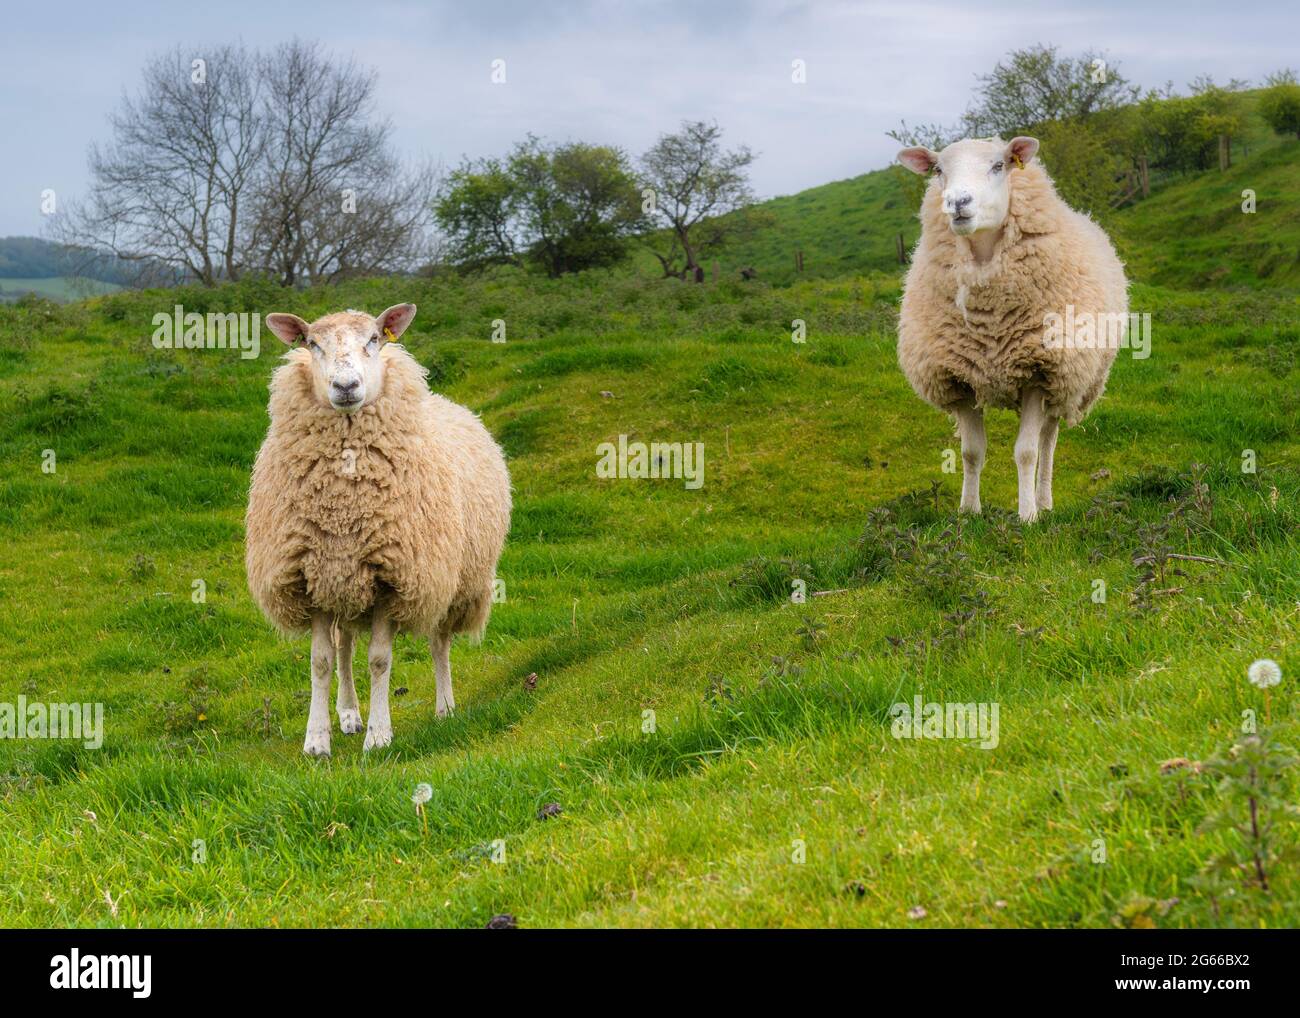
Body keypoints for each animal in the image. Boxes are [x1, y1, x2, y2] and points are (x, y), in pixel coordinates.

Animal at [245, 304, 511, 756]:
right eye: (311, 343)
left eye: (373, 339)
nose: (346, 386)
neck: (344, 504)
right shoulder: (312, 577)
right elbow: (321, 661)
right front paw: (317, 738)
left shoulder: (394, 577)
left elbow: (380, 660)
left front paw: (379, 735)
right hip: (346, 586)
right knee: (344, 645)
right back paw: (349, 713)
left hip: (448, 580)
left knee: (439, 642)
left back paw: (445, 708)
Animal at [895, 136, 1127, 522]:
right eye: (938, 169)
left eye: (998, 165)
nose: (957, 203)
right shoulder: (958, 377)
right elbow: (971, 452)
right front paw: (968, 512)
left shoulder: (1039, 371)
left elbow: (1027, 452)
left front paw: (1027, 515)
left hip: (1064, 381)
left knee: (1048, 440)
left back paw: (1044, 501)